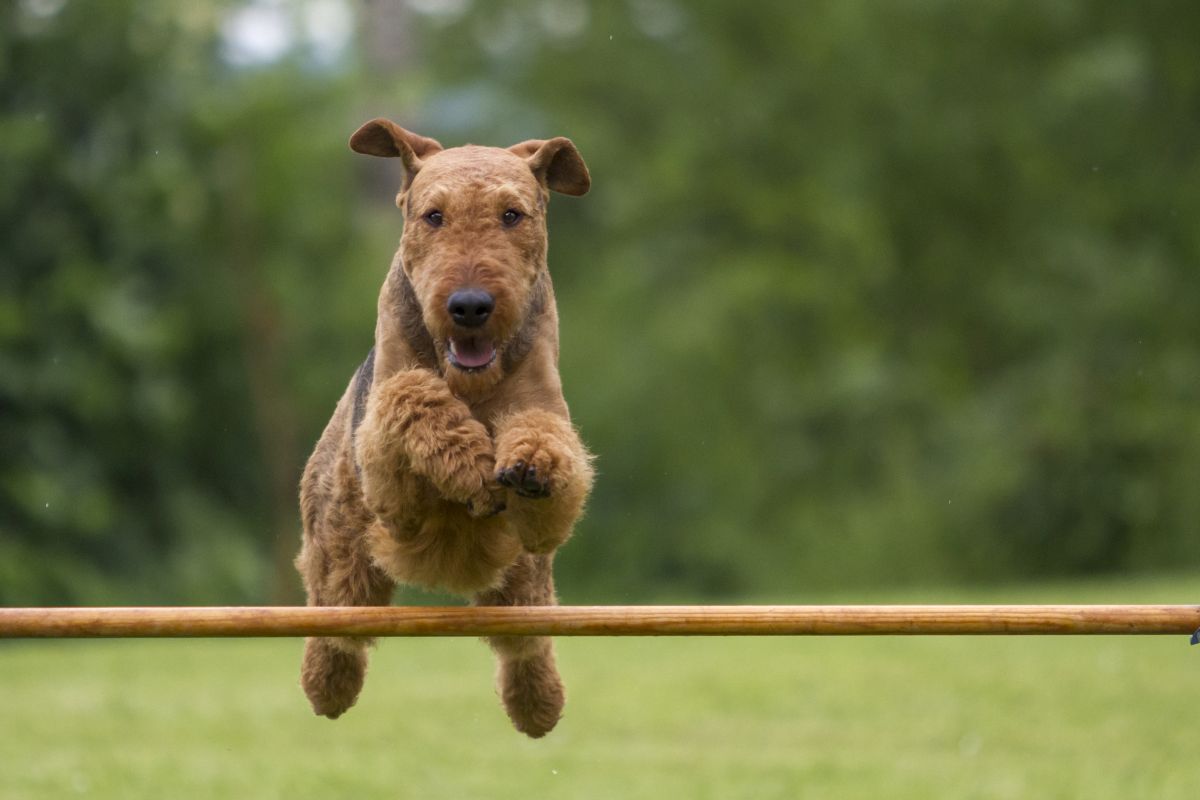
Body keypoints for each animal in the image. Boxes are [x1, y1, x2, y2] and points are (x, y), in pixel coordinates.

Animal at [295, 117, 595, 738]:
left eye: (512, 214)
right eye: (433, 215)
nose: (470, 305)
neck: (472, 386)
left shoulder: (546, 414)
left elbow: (547, 440)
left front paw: (528, 466)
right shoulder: (388, 481)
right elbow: (412, 396)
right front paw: (472, 465)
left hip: (524, 583)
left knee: (526, 646)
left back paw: (539, 708)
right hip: (343, 556)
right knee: (334, 629)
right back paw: (326, 688)